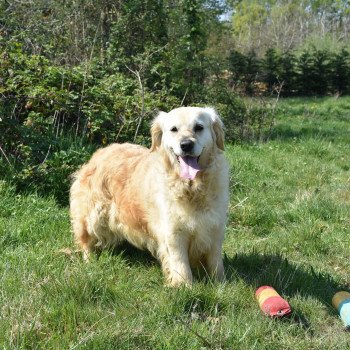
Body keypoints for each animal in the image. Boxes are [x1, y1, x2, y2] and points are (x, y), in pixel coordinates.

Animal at [71, 106, 230, 284]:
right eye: (174, 129)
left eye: (199, 127)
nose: (186, 145)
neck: (191, 188)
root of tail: (100, 152)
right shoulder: (173, 233)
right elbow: (181, 265)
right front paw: (185, 286)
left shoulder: (215, 228)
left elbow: (216, 262)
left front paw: (221, 284)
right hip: (93, 216)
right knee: (86, 240)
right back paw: (89, 262)